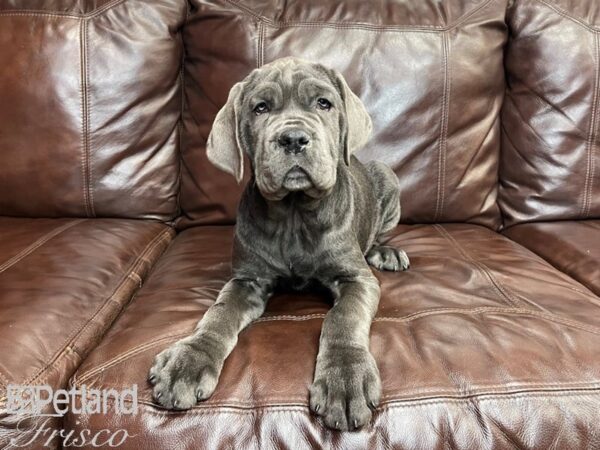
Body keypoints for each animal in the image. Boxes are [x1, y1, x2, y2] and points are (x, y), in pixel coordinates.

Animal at [148, 57, 410, 432]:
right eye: (260, 108)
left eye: (324, 103)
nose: (293, 138)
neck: (294, 215)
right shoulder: (248, 280)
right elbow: (218, 314)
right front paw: (189, 359)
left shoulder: (356, 278)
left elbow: (343, 318)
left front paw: (345, 378)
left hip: (386, 177)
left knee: (377, 236)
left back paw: (386, 252)